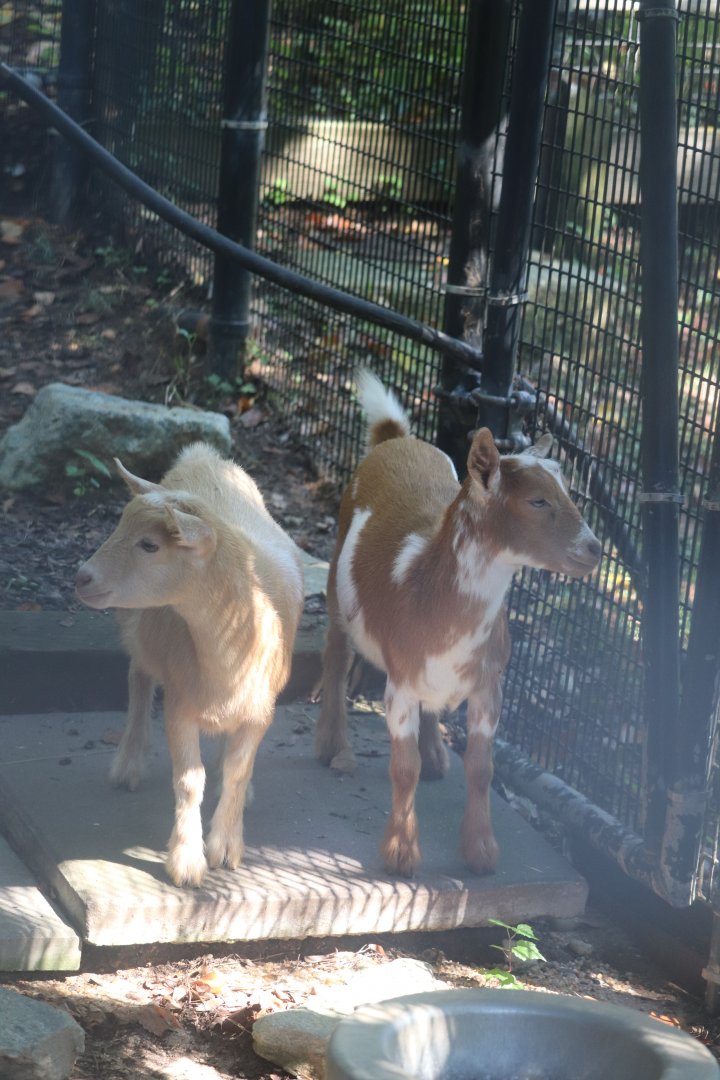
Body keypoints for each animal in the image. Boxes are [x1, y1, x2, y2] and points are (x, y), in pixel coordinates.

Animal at [76, 443, 303, 887]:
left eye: (150, 545)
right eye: (119, 525)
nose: (82, 576)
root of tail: (203, 455)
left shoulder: (261, 712)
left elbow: (236, 770)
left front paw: (226, 846)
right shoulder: (180, 702)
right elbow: (188, 780)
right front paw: (187, 860)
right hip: (137, 628)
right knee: (138, 679)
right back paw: (128, 764)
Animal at [315, 371, 601, 877]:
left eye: (568, 493)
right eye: (538, 500)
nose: (594, 549)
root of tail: (395, 438)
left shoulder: (490, 684)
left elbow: (482, 769)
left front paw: (481, 854)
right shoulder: (401, 681)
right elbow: (402, 767)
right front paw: (401, 855)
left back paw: (434, 756)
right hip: (335, 579)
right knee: (335, 651)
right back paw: (332, 745)